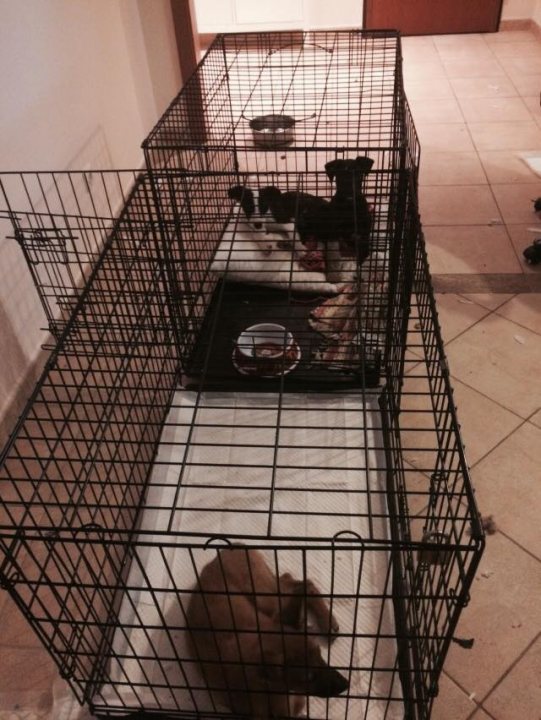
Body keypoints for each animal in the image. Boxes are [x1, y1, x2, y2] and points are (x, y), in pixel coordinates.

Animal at [185, 544, 346, 720]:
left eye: (320, 655)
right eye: (309, 677)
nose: (346, 684)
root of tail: (230, 548)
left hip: (267, 597)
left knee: (301, 583)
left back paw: (328, 623)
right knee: (292, 580)